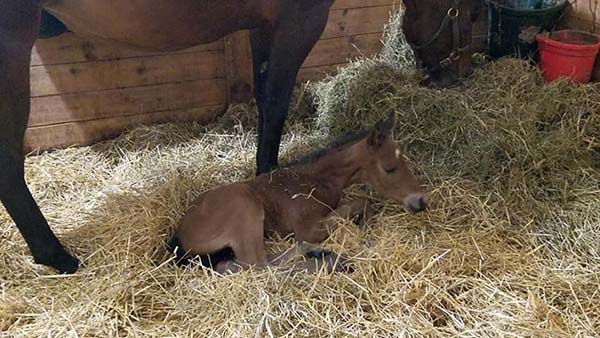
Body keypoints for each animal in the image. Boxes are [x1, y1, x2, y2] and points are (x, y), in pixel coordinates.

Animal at [169, 112, 426, 274]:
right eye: (389, 168)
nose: (420, 201)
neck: (315, 179)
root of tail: (178, 239)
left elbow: (363, 203)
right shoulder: (309, 227)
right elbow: (357, 204)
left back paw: (321, 254)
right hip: (246, 207)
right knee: (258, 265)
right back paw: (332, 262)